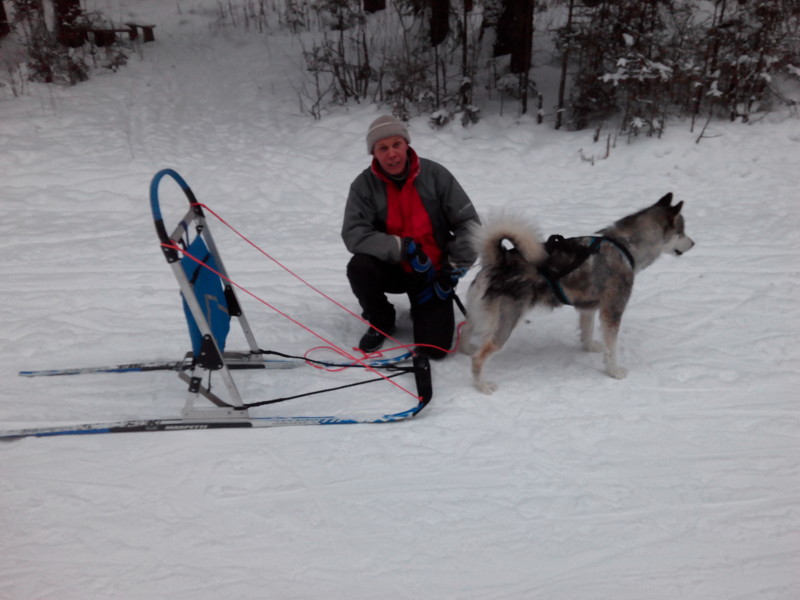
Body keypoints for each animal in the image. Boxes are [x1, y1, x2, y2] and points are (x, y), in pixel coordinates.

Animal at [462, 192, 692, 396]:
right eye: (681, 231)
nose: (693, 243)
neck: (625, 246)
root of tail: (498, 262)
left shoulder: (587, 307)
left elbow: (587, 330)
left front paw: (589, 346)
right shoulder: (612, 312)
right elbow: (612, 348)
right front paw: (614, 371)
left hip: (478, 314)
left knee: (464, 329)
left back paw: (465, 349)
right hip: (506, 323)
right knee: (479, 358)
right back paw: (482, 385)